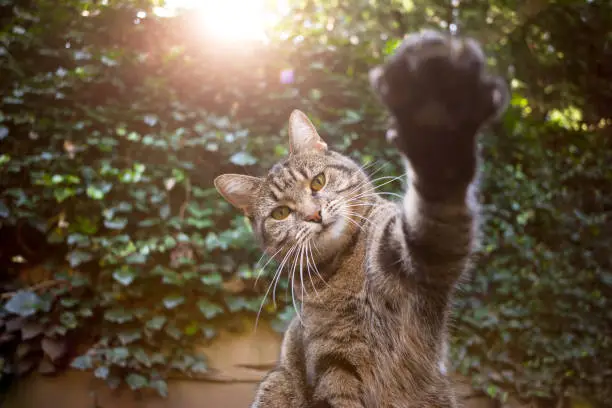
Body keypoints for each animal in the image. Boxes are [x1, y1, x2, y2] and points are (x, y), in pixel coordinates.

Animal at [213, 31, 510, 408]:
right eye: (281, 212)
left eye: (318, 182)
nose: (313, 214)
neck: (344, 268)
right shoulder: (334, 366)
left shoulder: (416, 257)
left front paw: (435, 122)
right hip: (276, 385)